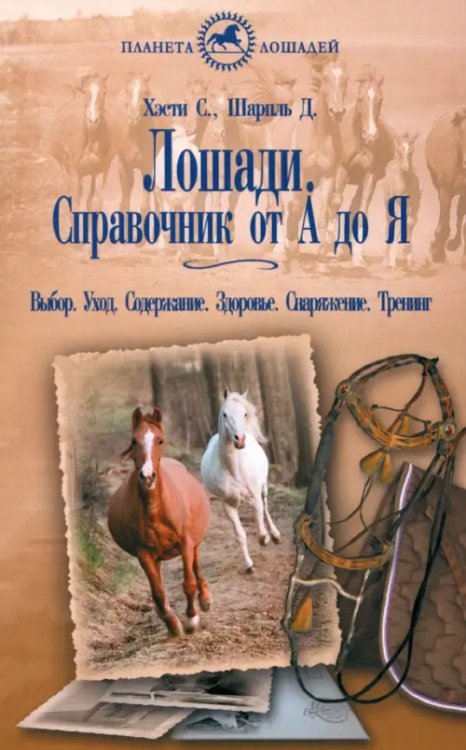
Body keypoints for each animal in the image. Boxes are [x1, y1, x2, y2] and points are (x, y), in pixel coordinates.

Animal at [50, 72, 115, 210]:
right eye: (85, 91)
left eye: (104, 92)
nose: (93, 119)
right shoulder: (74, 170)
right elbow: (75, 200)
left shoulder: (100, 169)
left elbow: (95, 202)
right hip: (65, 167)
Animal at [107, 407, 211, 637]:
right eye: (134, 441)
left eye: (160, 440)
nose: (147, 476)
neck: (156, 510)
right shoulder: (144, 553)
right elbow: (157, 592)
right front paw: (172, 624)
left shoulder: (185, 543)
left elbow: (189, 583)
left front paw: (191, 619)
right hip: (157, 556)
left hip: (194, 544)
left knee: (197, 567)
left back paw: (205, 599)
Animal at [200, 391, 280, 573]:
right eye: (224, 414)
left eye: (244, 413)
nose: (240, 440)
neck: (234, 470)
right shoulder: (227, 505)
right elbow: (240, 535)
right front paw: (249, 565)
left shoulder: (255, 496)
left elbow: (260, 525)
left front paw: (265, 538)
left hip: (263, 488)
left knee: (266, 506)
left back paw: (275, 535)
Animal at [383, 130, 421, 268]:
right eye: (398, 150)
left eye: (412, 151)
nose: (404, 168)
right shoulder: (395, 204)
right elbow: (398, 223)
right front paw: (391, 262)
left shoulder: (414, 204)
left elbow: (410, 222)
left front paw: (406, 251)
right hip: (387, 203)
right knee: (389, 222)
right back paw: (387, 259)